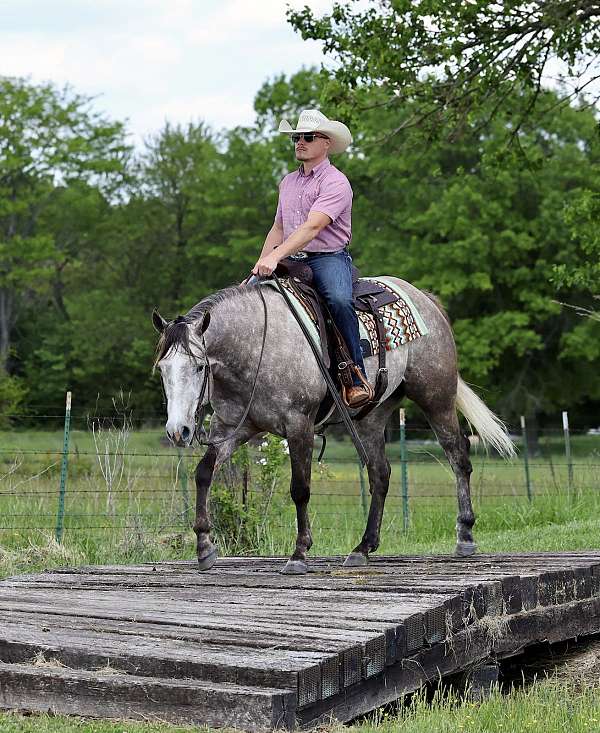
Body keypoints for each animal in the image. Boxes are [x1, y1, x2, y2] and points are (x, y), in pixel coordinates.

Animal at [152, 277, 515, 574]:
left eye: (200, 367)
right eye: (162, 368)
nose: (178, 431)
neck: (257, 346)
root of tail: (423, 297)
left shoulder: (299, 425)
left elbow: (300, 489)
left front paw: (299, 553)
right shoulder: (234, 428)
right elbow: (203, 473)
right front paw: (204, 547)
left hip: (436, 398)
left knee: (458, 456)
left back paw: (465, 536)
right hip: (371, 417)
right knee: (380, 474)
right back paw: (363, 547)